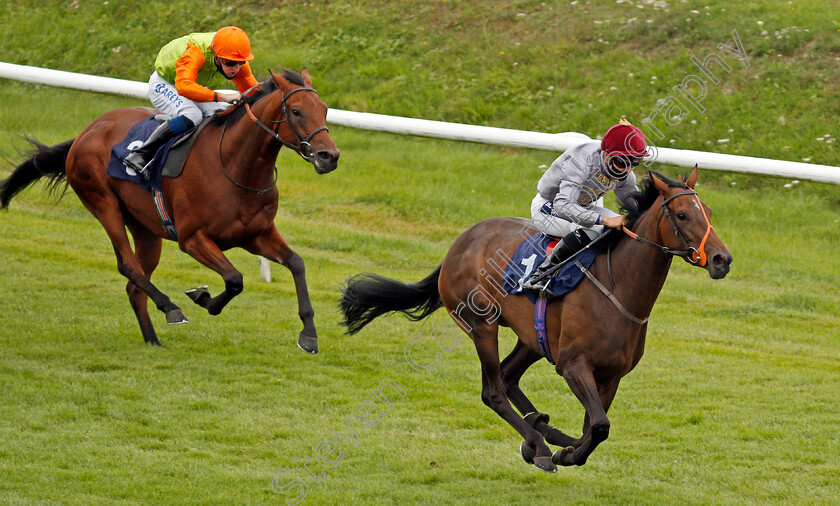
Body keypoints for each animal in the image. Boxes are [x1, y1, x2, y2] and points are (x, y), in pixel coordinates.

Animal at [4, 68, 338, 352]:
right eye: (296, 111)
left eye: (324, 109)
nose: (329, 156)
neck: (236, 167)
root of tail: (86, 132)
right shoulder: (192, 238)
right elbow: (234, 279)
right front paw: (202, 298)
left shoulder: (257, 234)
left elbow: (296, 263)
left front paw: (309, 335)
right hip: (103, 203)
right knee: (127, 266)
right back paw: (171, 308)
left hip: (145, 228)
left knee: (135, 283)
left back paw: (153, 340)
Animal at [338, 168, 732, 472]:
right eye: (682, 215)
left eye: (710, 211)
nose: (721, 259)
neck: (617, 285)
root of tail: (460, 242)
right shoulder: (573, 365)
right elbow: (600, 425)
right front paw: (563, 454)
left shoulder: (611, 376)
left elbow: (595, 426)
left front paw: (569, 449)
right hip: (482, 325)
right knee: (493, 391)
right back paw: (538, 445)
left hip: (532, 338)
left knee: (509, 377)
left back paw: (545, 431)